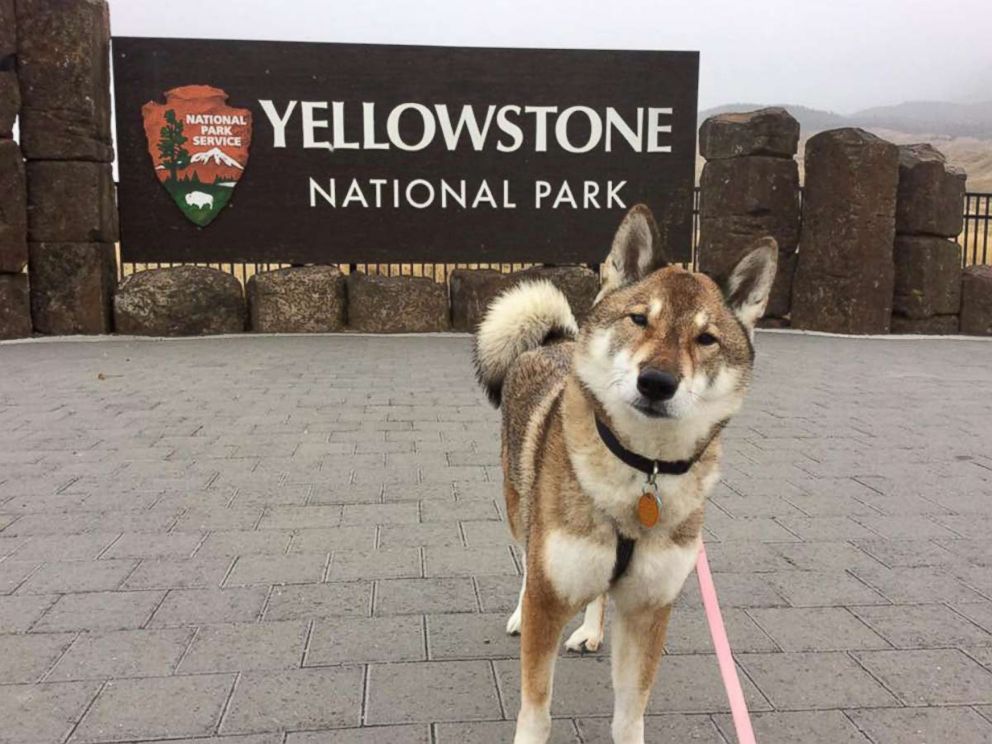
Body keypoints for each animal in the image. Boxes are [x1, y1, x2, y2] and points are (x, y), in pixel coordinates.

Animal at [470, 205, 776, 744]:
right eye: (639, 319)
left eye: (706, 339)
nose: (656, 382)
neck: (642, 471)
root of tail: (555, 341)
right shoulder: (549, 601)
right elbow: (536, 713)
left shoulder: (648, 609)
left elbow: (630, 712)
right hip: (518, 506)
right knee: (526, 559)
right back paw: (519, 611)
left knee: (599, 597)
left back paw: (591, 631)